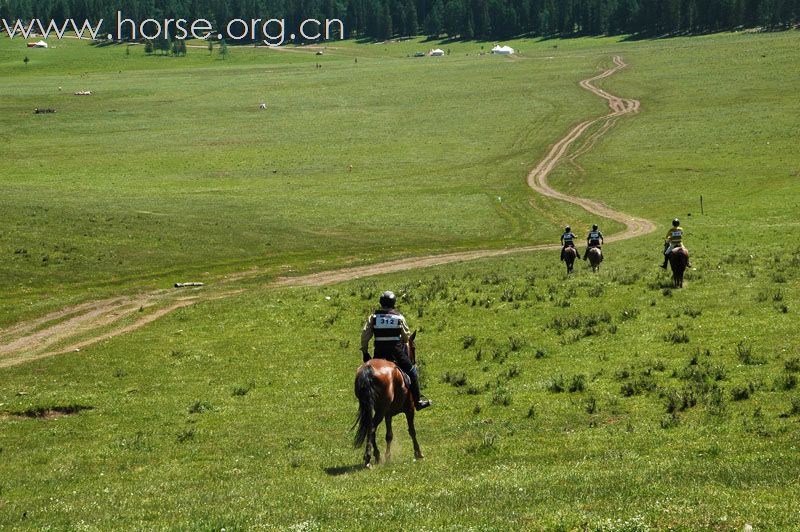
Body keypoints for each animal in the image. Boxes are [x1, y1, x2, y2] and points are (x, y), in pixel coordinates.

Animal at [354, 330, 422, 468]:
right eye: (414, 347)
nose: (413, 362)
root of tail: (368, 370)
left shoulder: (388, 414)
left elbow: (389, 435)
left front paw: (388, 456)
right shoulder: (410, 409)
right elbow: (412, 430)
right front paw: (418, 453)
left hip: (370, 407)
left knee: (370, 427)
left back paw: (376, 455)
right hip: (380, 409)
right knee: (372, 428)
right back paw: (368, 457)